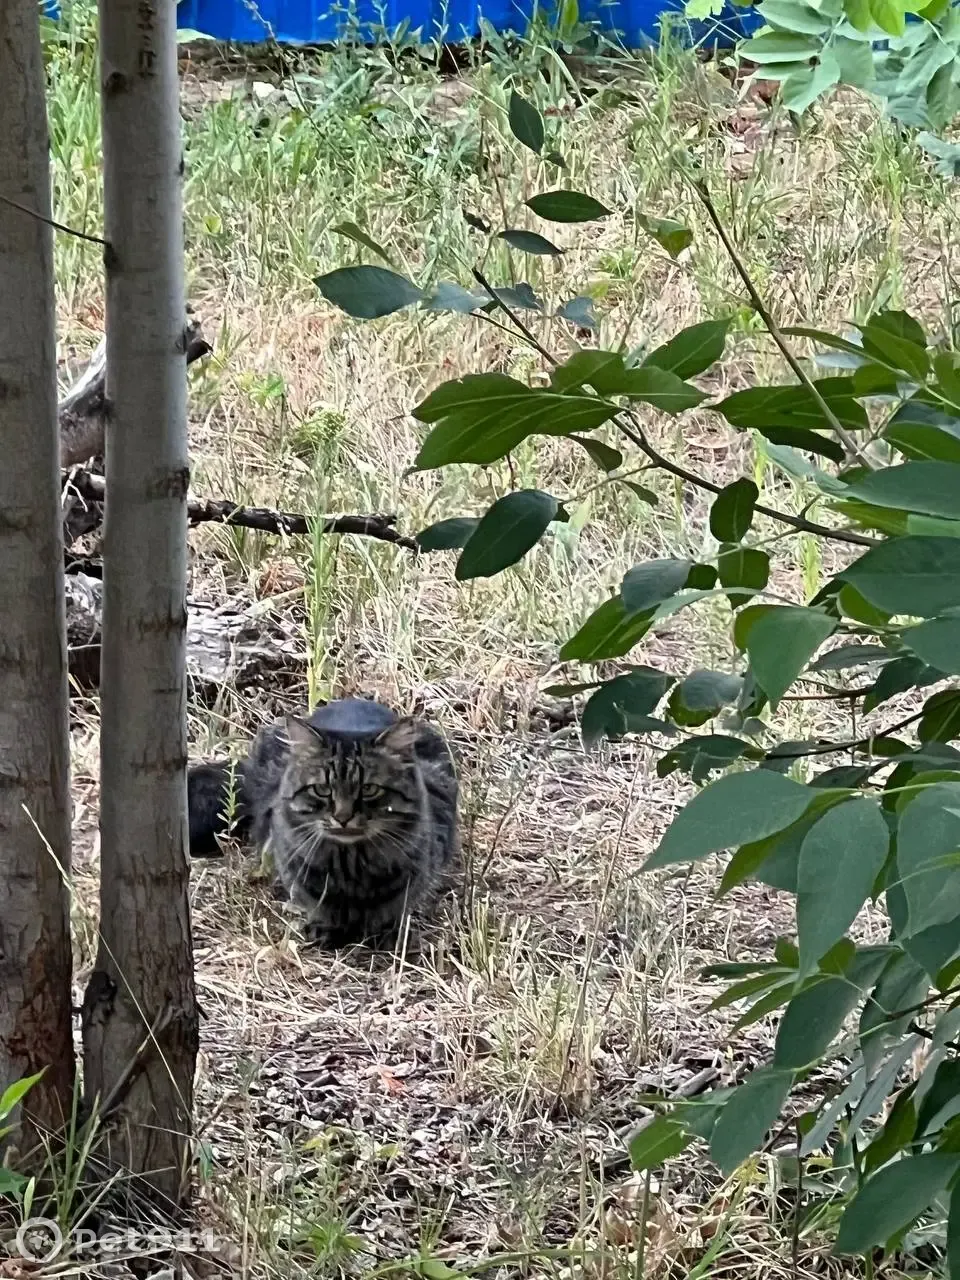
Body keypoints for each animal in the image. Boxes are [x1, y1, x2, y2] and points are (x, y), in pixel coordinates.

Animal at [189, 696, 460, 947]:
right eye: (322, 790)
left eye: (369, 789)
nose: (343, 817)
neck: (352, 868)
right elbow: (315, 903)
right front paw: (325, 929)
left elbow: (397, 905)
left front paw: (389, 933)